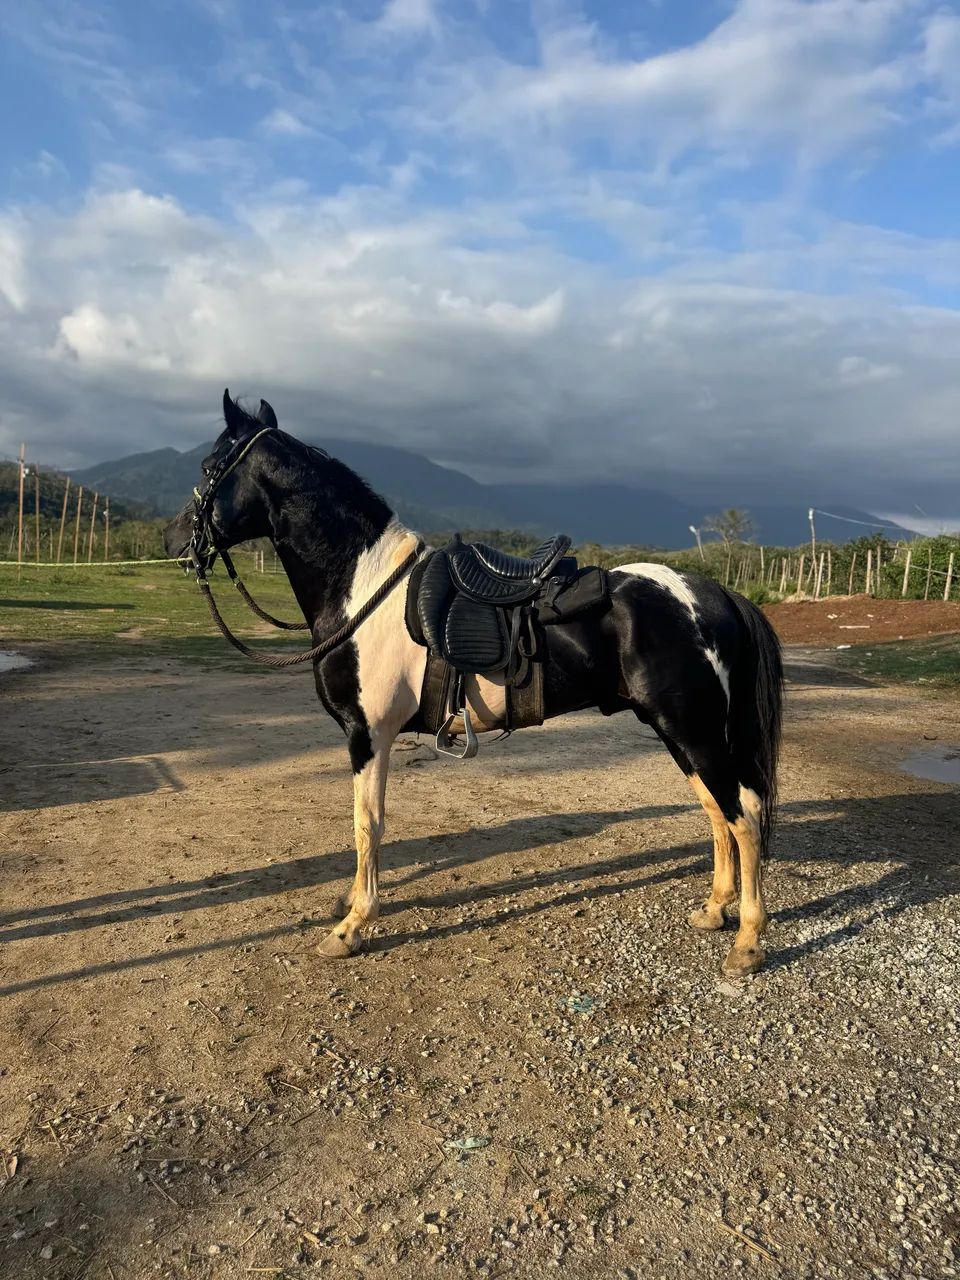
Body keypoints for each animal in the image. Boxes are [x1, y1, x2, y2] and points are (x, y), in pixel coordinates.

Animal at [164, 391, 783, 976]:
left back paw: (748, 942)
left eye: (208, 466)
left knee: (744, 816)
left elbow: (368, 825)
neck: (363, 588)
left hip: (692, 729)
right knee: (718, 812)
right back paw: (714, 911)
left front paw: (353, 925)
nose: (175, 541)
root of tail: (715, 594)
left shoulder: (368, 735)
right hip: (676, 731)